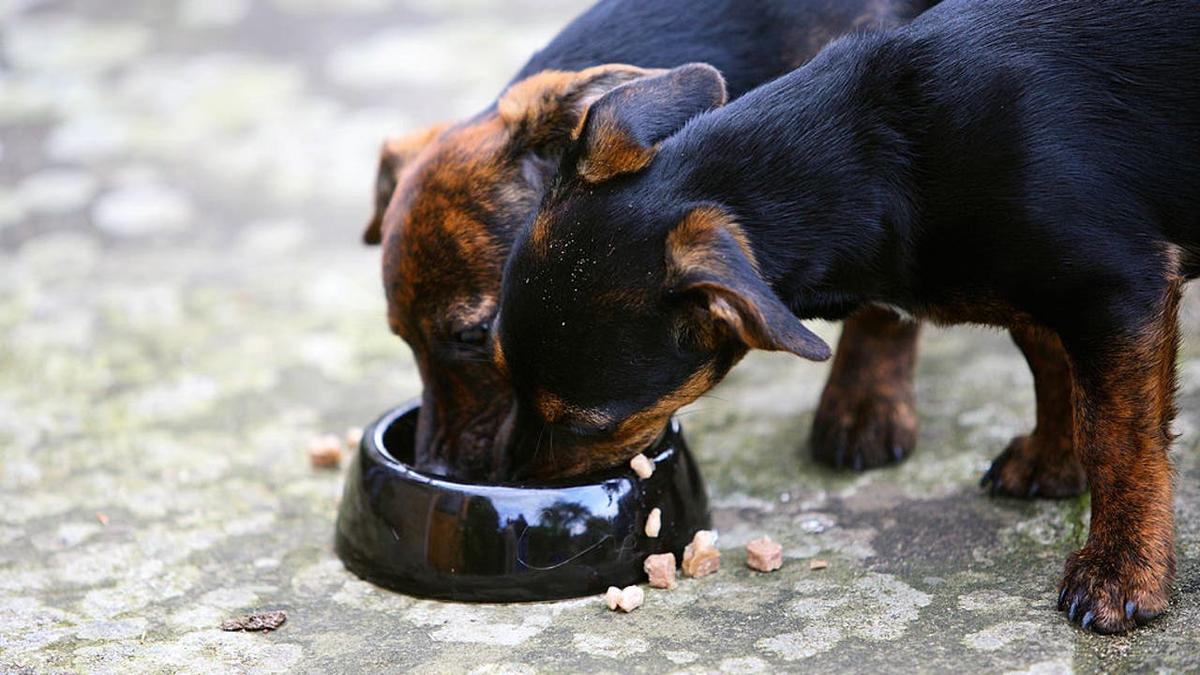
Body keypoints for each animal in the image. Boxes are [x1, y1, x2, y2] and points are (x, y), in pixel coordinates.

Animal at [496, 0, 1200, 629]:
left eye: (585, 423)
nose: (512, 480)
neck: (887, 160)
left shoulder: (1118, 288)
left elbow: (1116, 438)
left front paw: (1121, 574)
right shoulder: (1039, 292)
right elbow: (1053, 369)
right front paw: (1055, 463)